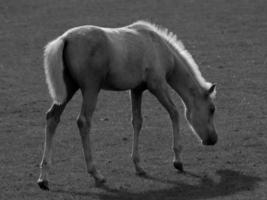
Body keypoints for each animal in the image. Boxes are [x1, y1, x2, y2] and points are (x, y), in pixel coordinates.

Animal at [37, 20, 218, 191]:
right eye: (211, 109)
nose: (213, 139)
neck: (158, 47)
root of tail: (65, 38)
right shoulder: (157, 85)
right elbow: (174, 113)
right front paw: (178, 161)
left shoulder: (136, 90)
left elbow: (137, 122)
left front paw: (138, 166)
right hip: (90, 89)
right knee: (83, 121)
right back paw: (96, 174)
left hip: (68, 90)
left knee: (52, 118)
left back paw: (44, 179)